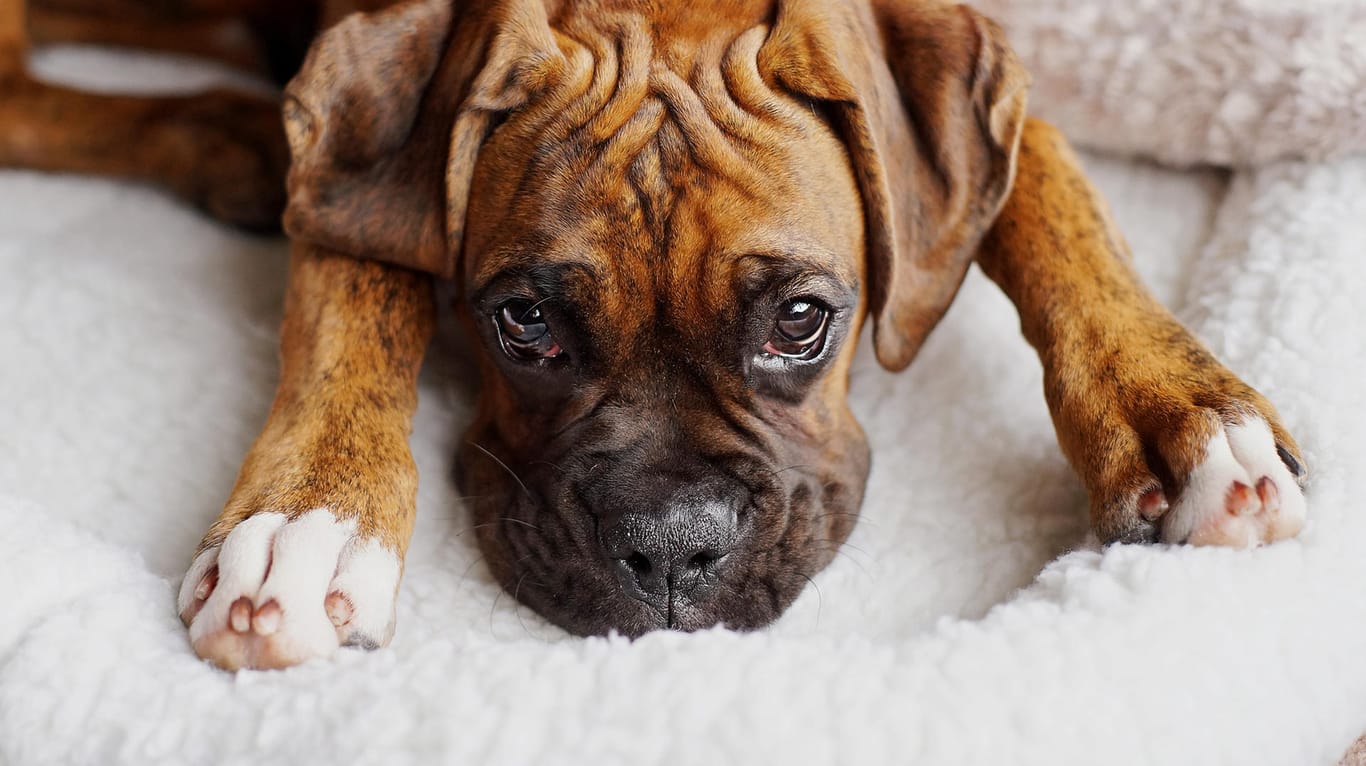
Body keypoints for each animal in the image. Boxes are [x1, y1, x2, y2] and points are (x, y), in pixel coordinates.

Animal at [0, 0, 1305, 669]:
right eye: (522, 320)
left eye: (801, 320)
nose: (673, 550)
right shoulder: (366, 168)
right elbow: (352, 301)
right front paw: (309, 523)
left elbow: (1050, 192)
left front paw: (1180, 409)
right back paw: (222, 136)